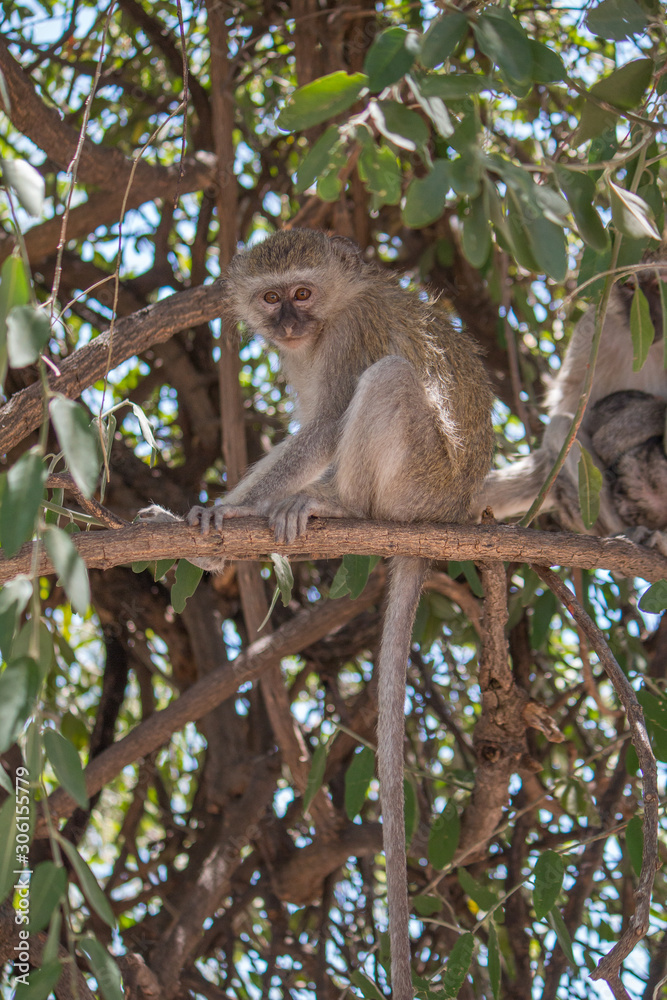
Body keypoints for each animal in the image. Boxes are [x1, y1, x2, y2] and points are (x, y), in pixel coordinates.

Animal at [139, 228, 494, 1000]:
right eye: (273, 297)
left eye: (304, 293)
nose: (289, 321)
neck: (326, 322)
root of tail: (451, 516)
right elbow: (311, 427)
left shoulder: (349, 336)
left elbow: (328, 425)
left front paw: (220, 518)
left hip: (419, 480)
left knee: (387, 380)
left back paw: (334, 505)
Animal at [473, 275, 667, 546]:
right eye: (631, 286)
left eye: (660, 285)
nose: (651, 318)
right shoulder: (594, 331)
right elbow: (579, 415)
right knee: (562, 428)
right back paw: (627, 533)